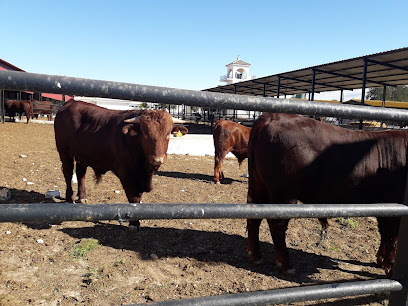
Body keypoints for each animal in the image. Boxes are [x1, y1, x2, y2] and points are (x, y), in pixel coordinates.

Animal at [54, 100, 183, 230]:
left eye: (168, 134)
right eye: (144, 134)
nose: (158, 159)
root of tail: (71, 102)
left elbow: (139, 196)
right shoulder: (126, 174)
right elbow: (133, 197)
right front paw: (134, 223)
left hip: (82, 156)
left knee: (80, 174)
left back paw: (82, 197)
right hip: (64, 152)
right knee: (68, 173)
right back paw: (69, 198)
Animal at [247, 112, 406, 278]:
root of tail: (270, 117)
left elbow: (384, 233)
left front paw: (380, 259)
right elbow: (392, 236)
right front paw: (390, 266)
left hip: (258, 186)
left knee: (254, 217)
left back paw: (256, 256)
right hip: (284, 194)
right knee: (277, 225)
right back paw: (286, 266)